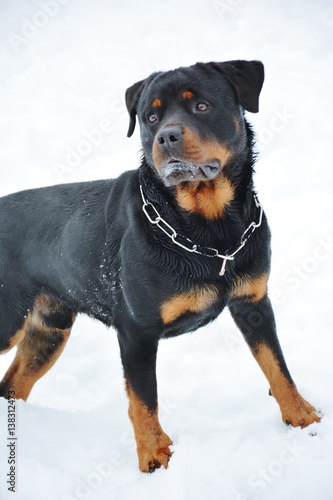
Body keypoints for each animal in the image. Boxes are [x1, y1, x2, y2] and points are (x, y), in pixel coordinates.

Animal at [0, 59, 320, 472]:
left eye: (201, 106)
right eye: (150, 117)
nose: (166, 137)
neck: (210, 231)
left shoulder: (253, 303)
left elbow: (277, 365)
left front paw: (302, 416)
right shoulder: (136, 329)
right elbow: (143, 399)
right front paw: (153, 454)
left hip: (49, 328)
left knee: (13, 384)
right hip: (9, 319)